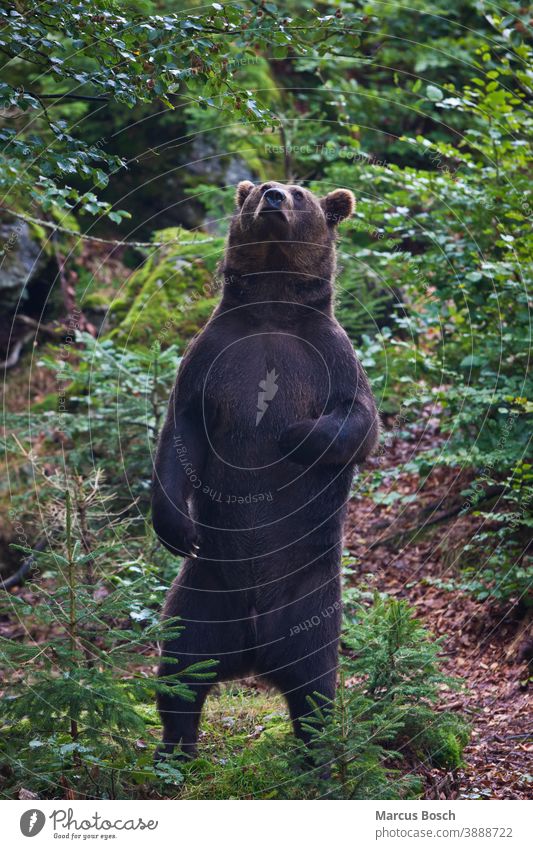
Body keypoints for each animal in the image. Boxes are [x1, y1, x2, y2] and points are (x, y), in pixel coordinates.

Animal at [152, 181, 380, 760]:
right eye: (256, 189)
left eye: (301, 193)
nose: (273, 196)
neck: (272, 309)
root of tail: (252, 653)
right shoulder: (210, 359)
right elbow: (179, 433)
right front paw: (175, 526)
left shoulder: (330, 355)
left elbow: (359, 422)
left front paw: (291, 435)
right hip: (205, 589)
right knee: (181, 666)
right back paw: (174, 749)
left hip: (310, 599)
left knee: (314, 683)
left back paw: (316, 756)